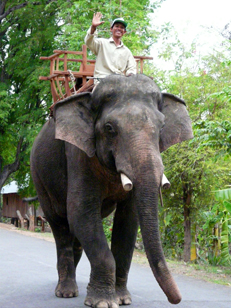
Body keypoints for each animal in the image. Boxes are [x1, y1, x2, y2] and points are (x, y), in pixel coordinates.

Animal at [30, 74, 193, 308]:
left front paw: (123, 299)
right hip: (39, 178)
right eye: (109, 128)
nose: (176, 299)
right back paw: (66, 292)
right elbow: (81, 212)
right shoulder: (79, 155)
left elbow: (128, 221)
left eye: (162, 126)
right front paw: (103, 302)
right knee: (60, 226)